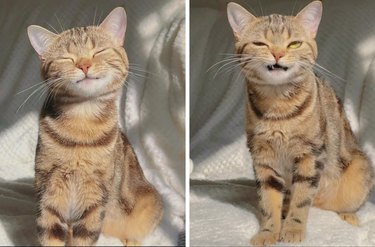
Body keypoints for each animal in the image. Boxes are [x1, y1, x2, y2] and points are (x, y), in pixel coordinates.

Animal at [28, 6, 164, 246]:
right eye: (67, 57)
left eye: (98, 51)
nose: (84, 65)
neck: (82, 123)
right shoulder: (48, 188)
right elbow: (50, 233)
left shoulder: (96, 194)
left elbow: (85, 235)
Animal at [228, 1, 374, 245]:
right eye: (260, 43)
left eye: (294, 43)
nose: (278, 53)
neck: (278, 108)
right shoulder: (263, 158)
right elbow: (268, 201)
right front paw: (268, 231)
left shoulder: (311, 155)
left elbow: (302, 199)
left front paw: (293, 229)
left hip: (359, 169)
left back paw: (348, 216)